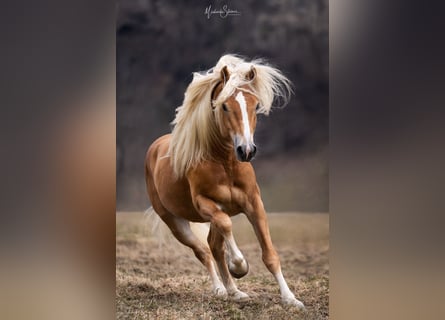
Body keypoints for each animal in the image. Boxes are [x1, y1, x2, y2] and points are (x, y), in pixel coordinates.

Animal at [146, 53, 306, 308]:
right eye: (224, 106)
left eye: (255, 105)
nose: (246, 150)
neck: (225, 164)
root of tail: (155, 146)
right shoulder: (205, 204)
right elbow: (227, 226)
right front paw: (239, 266)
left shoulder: (254, 203)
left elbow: (270, 255)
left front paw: (291, 299)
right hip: (175, 222)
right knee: (203, 251)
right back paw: (221, 288)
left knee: (214, 246)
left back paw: (235, 292)